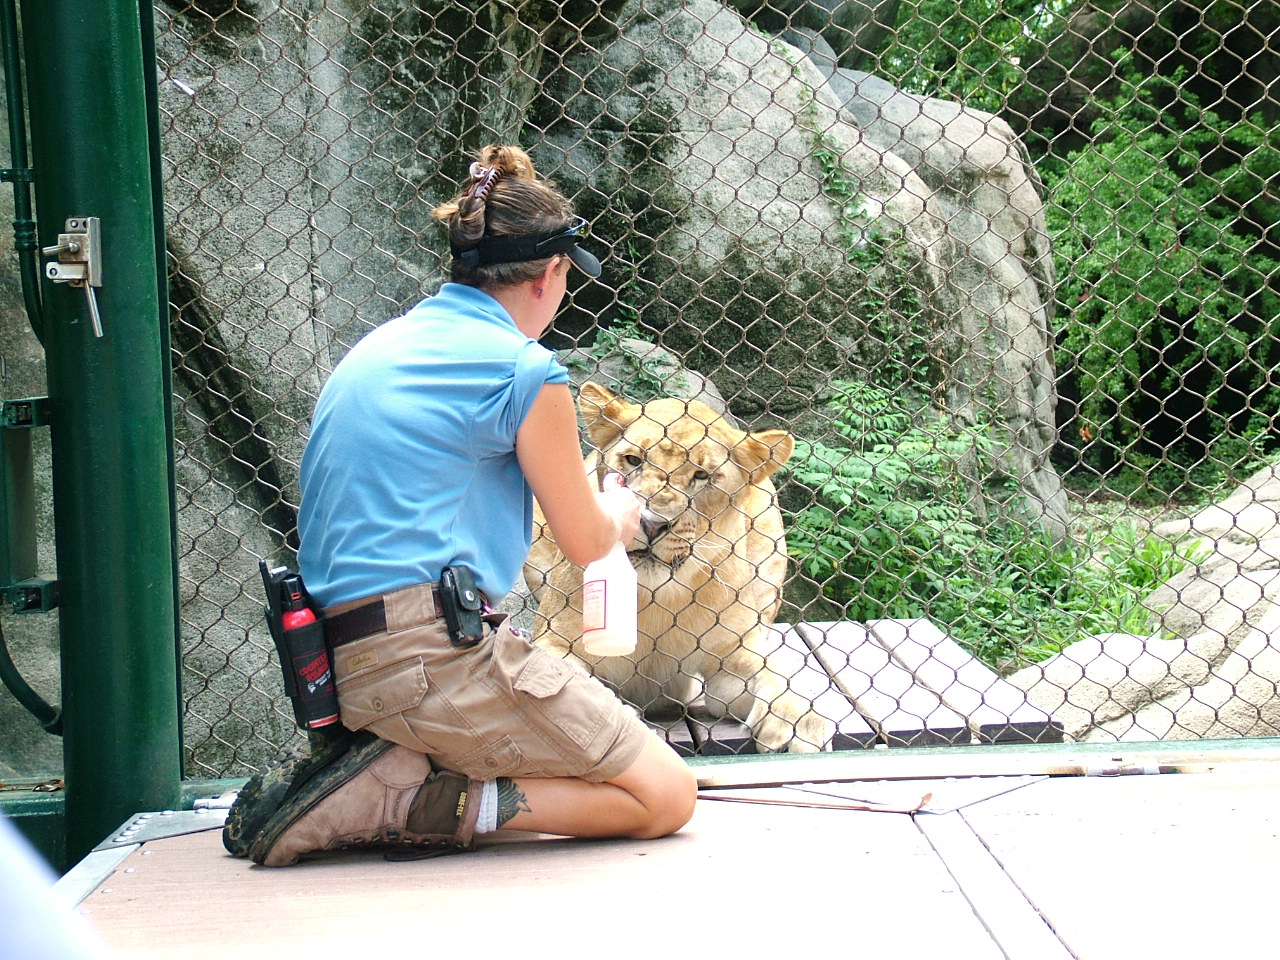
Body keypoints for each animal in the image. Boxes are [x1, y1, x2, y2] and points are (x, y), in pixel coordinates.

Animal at [523, 380, 836, 753]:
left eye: (701, 475)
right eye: (633, 460)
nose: (650, 523)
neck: (657, 600)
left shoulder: (731, 660)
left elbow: (775, 675)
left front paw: (798, 722)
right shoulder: (555, 642)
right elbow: (567, 680)